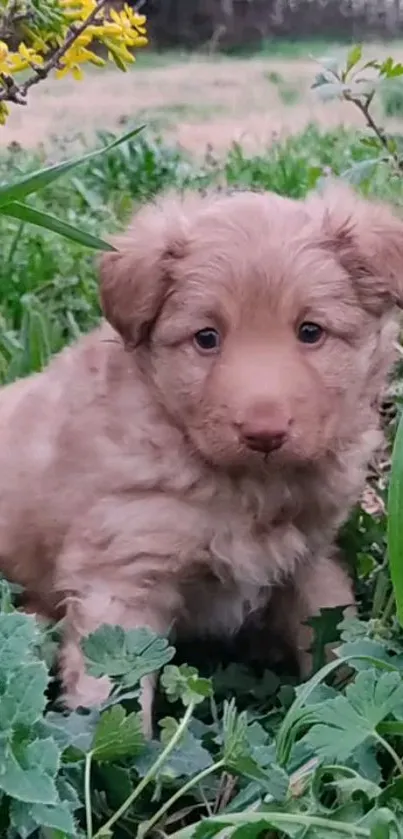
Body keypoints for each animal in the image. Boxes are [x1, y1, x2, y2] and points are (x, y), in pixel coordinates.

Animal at [0, 185, 402, 728]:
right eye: (206, 338)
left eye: (311, 331)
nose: (264, 433)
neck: (244, 487)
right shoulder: (121, 574)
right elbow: (113, 696)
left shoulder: (310, 558)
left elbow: (337, 644)